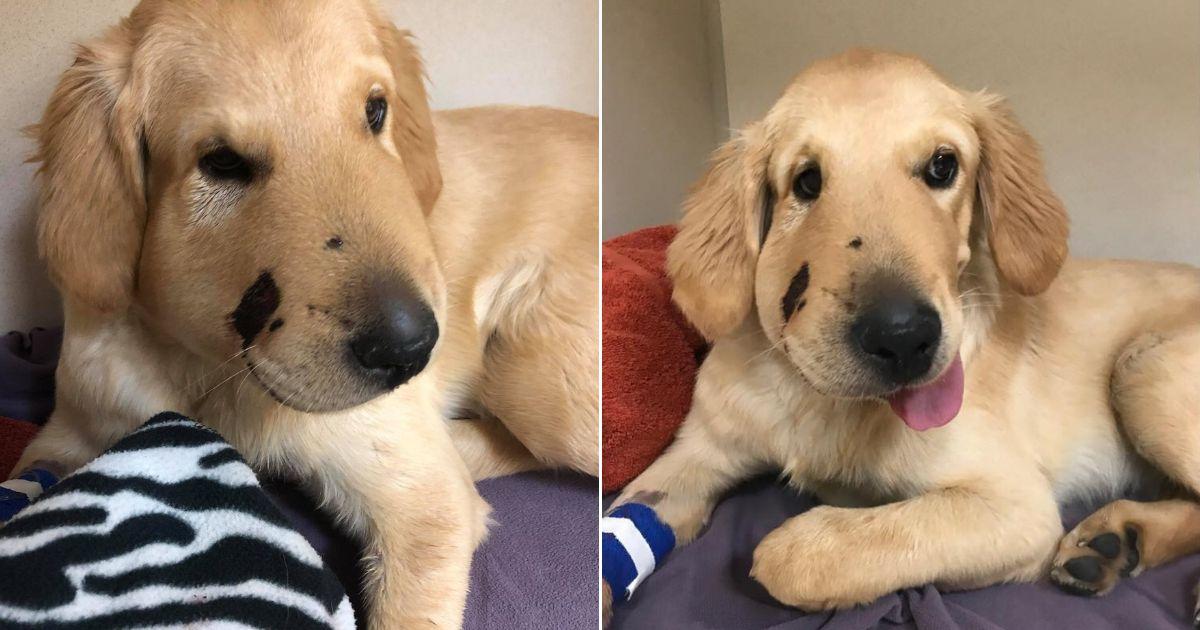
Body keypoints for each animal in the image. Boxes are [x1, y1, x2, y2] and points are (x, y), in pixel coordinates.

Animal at [16, 1, 597, 628]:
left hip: (542, 386)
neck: (211, 375)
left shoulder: (425, 507)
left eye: (375, 110)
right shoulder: (68, 431)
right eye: (222, 161)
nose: (413, 348)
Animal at [604, 46, 1200, 619]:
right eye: (806, 180)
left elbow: (805, 554)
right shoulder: (697, 451)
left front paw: (796, 546)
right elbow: (622, 520)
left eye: (942, 165)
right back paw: (1116, 542)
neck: (815, 394)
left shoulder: (1015, 506)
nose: (903, 338)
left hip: (1144, 367)